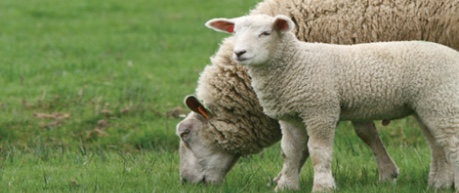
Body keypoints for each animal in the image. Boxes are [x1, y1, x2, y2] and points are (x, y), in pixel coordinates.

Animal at [176, 0, 459, 187]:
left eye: (185, 134)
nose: (186, 182)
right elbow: (293, 148)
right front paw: (286, 178)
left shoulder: (334, 95)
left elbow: (356, 135)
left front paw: (385, 172)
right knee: (436, 141)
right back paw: (439, 182)